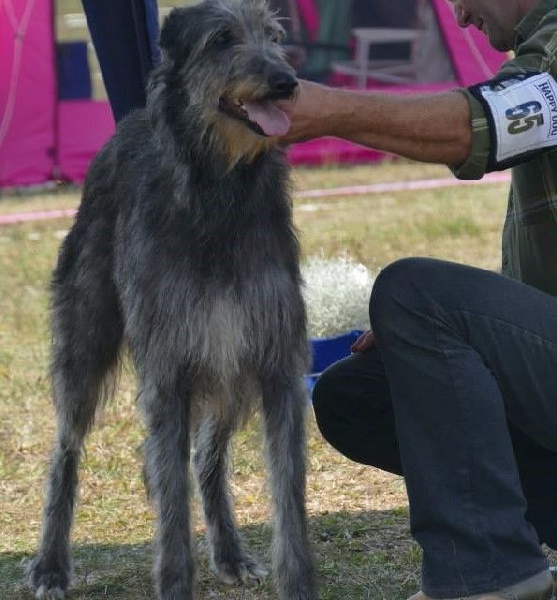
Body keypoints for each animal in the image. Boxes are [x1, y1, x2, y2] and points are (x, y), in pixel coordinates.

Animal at [28, 1, 317, 598]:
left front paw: (297, 583)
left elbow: (288, 495)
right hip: (86, 340)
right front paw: (176, 581)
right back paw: (50, 564)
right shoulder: (170, 372)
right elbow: (170, 505)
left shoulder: (273, 361)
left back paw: (228, 551)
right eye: (222, 39)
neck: (219, 191)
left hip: (229, 368)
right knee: (66, 449)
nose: (286, 83)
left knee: (206, 457)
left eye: (275, 37)